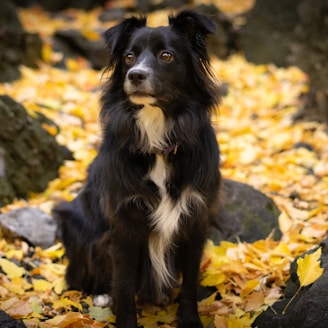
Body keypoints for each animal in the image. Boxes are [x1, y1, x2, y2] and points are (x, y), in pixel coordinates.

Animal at [53, 10, 222, 328]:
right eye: (129, 56)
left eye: (167, 55)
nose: (135, 75)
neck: (158, 140)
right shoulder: (124, 224)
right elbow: (124, 284)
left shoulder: (196, 218)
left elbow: (190, 282)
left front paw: (190, 319)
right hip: (74, 220)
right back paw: (101, 295)